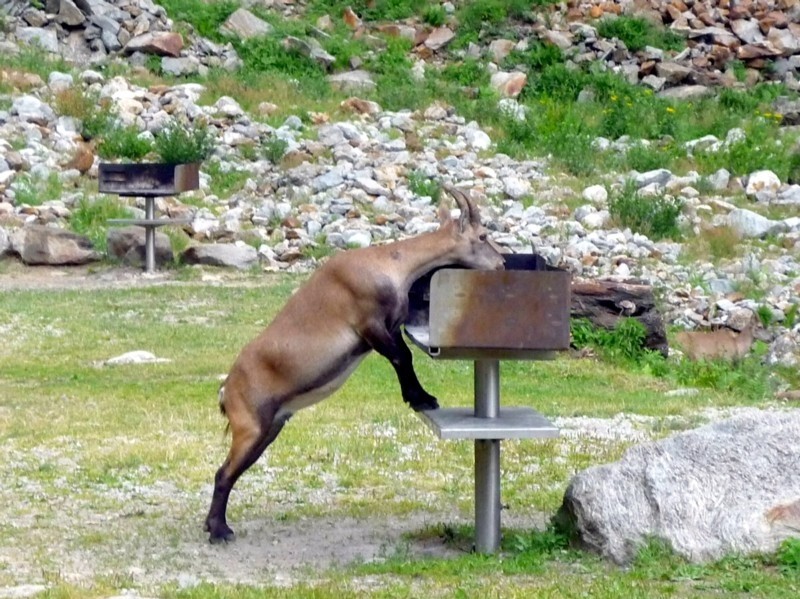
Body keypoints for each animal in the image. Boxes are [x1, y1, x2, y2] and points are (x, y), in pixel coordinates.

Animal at [204, 186, 505, 543]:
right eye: (483, 235)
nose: (502, 263)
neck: (390, 264)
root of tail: (226, 390)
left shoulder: (388, 328)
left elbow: (403, 355)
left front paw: (419, 397)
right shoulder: (368, 323)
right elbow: (402, 357)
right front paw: (422, 399)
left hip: (269, 428)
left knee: (230, 471)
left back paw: (215, 526)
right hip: (249, 427)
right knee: (223, 473)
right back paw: (220, 531)